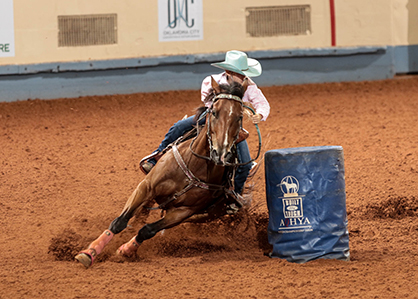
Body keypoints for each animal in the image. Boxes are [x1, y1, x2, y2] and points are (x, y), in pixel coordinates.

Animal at [74, 77, 250, 270]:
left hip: (205, 215)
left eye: (239, 117)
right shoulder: (146, 187)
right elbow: (119, 221)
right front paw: (89, 252)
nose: (221, 153)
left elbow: (148, 230)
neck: (195, 166)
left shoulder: (184, 211)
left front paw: (125, 250)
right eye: (214, 112)